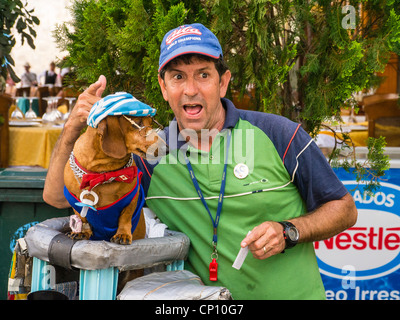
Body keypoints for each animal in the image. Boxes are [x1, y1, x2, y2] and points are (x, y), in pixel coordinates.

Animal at [62, 92, 162, 245]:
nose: (166, 148)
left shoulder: (131, 198)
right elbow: (82, 217)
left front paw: (122, 234)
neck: (102, 172)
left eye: (151, 124)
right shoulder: (74, 200)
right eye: (138, 123)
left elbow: (125, 217)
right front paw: (82, 232)